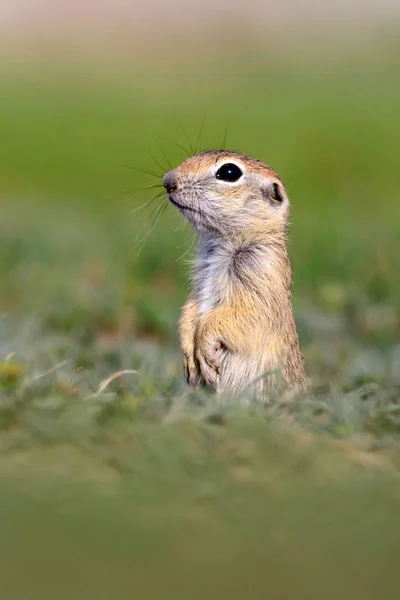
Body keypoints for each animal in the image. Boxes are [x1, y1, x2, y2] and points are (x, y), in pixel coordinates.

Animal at [162, 150, 306, 398]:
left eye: (229, 172)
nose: (168, 181)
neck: (223, 243)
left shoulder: (262, 274)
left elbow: (244, 315)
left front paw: (205, 352)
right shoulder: (200, 282)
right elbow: (189, 310)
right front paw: (189, 355)